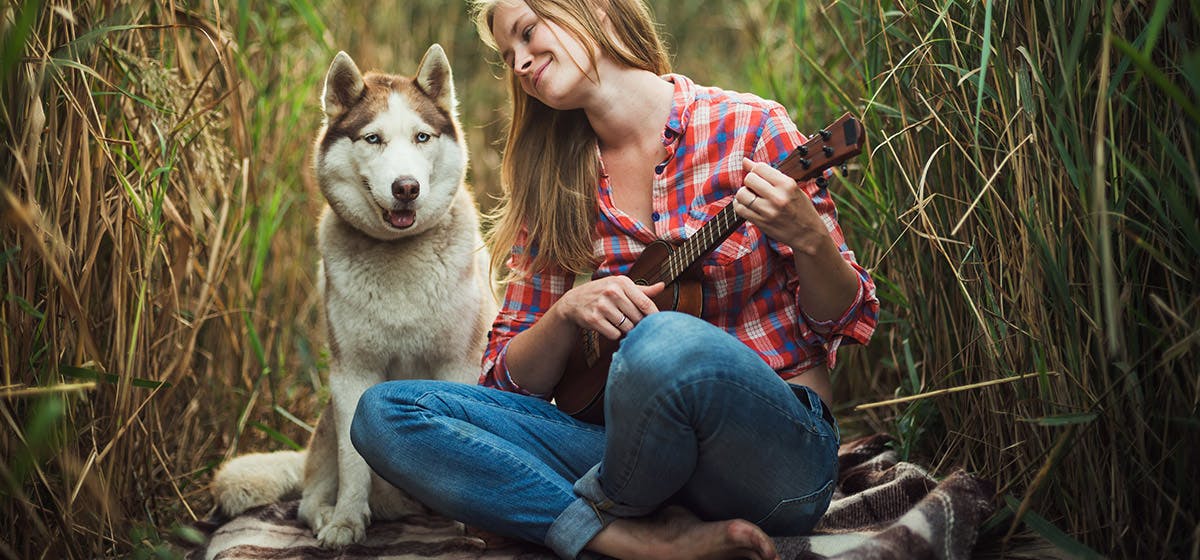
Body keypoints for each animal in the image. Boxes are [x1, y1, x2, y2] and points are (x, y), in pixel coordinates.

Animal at [212, 43, 496, 549]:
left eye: (422, 137)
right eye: (372, 139)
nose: (407, 187)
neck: (400, 257)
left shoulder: (459, 363)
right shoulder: (351, 375)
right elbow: (353, 461)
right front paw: (346, 521)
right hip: (325, 420)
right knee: (307, 498)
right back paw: (331, 512)